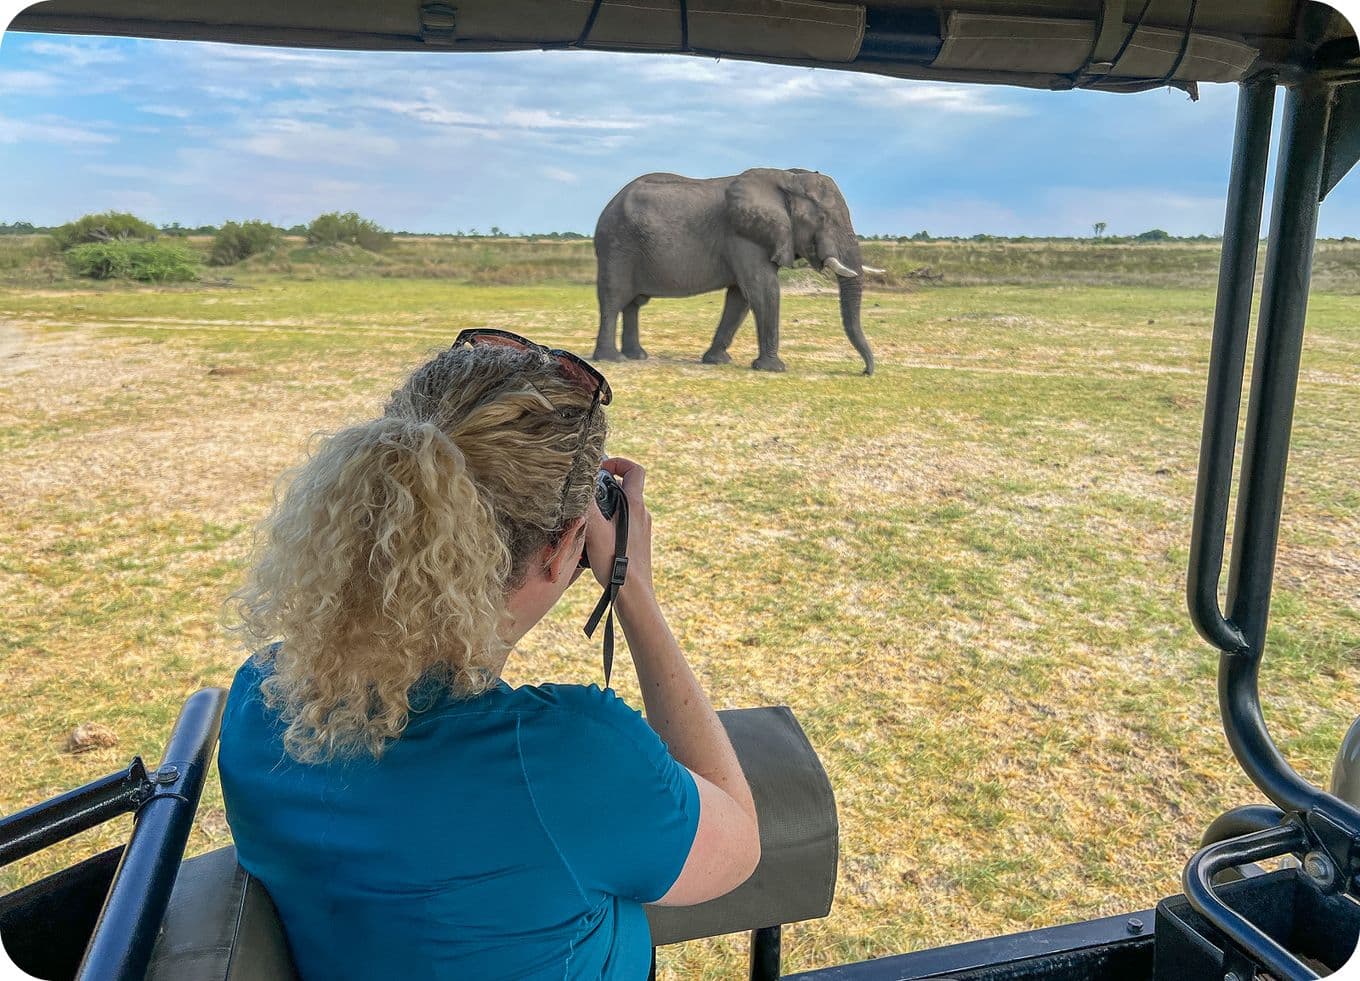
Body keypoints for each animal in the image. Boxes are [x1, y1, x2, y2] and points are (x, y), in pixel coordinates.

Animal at [592, 168, 878, 375]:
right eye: (823, 219)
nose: (865, 372)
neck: (789, 178)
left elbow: (740, 298)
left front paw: (717, 361)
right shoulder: (744, 236)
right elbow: (762, 290)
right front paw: (773, 369)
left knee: (633, 304)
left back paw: (637, 356)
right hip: (617, 246)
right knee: (614, 298)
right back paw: (613, 359)